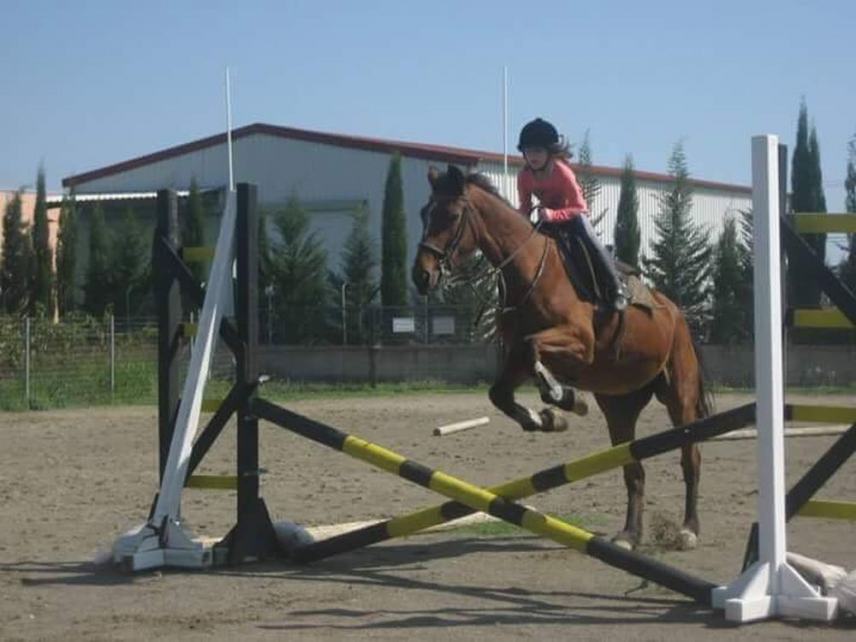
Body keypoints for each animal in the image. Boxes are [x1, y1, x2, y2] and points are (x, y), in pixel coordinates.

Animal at [412, 165, 712, 552]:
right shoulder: (516, 357)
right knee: (633, 469)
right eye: (424, 214)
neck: (529, 270)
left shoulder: (579, 343)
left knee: (691, 458)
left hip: (680, 396)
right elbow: (501, 391)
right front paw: (551, 417)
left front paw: (561, 398)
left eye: (450, 216)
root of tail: (677, 313)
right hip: (619, 405)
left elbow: (533, 349)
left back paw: (688, 530)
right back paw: (629, 535)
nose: (422, 275)